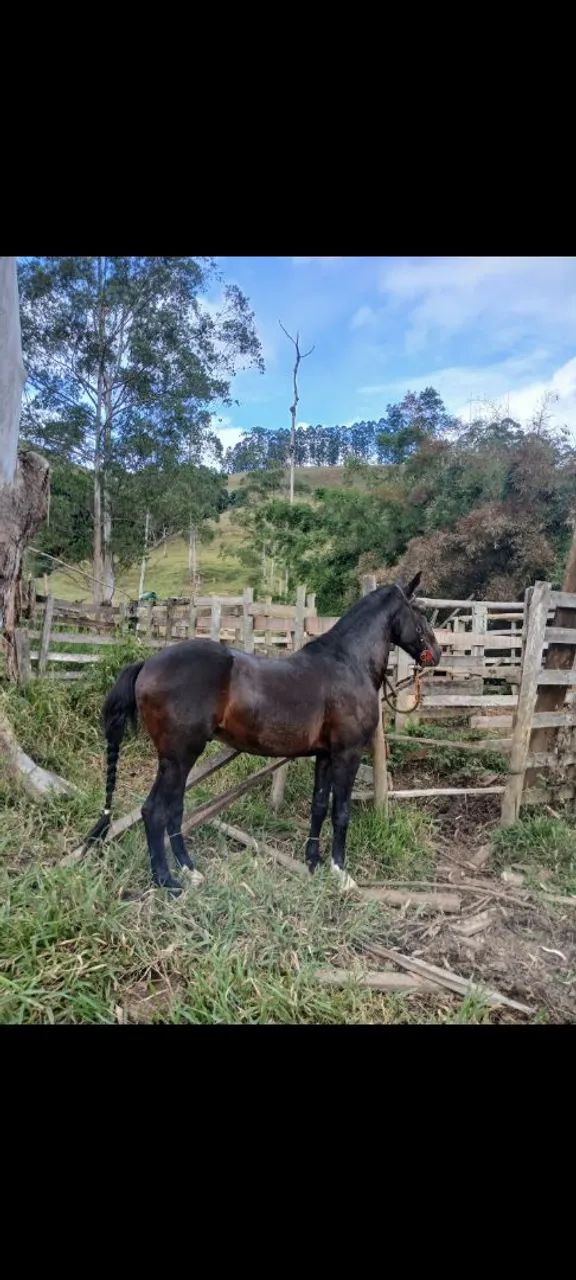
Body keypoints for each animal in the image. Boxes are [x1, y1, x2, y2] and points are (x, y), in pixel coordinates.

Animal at [84, 572, 441, 894]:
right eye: (420, 611)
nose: (436, 654)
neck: (347, 663)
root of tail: (147, 664)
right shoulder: (347, 754)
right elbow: (341, 812)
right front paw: (341, 874)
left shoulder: (325, 755)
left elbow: (319, 806)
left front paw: (313, 862)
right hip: (178, 758)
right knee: (154, 811)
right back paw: (167, 881)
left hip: (177, 761)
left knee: (173, 811)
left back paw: (189, 871)